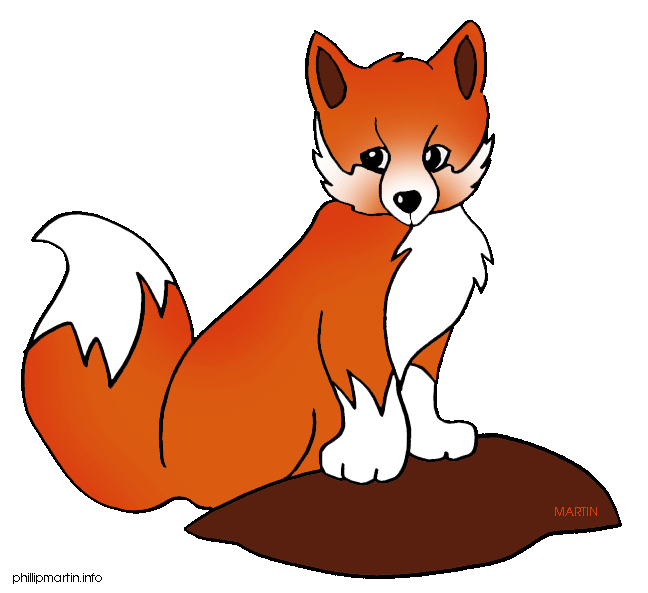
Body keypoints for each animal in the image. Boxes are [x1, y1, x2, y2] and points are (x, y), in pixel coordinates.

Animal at [23, 21, 493, 512]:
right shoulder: (352, 335)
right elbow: (376, 404)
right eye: (374, 158)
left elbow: (419, 391)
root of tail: (166, 462)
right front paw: (369, 461)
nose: (409, 200)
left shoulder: (429, 339)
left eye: (434, 155)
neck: (419, 242)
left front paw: (434, 440)